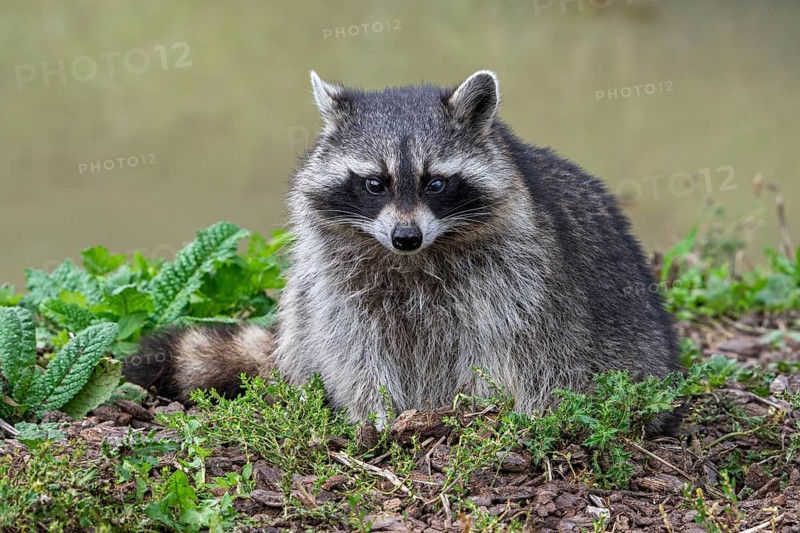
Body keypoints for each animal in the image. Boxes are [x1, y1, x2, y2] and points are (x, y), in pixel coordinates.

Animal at [124, 70, 681, 433]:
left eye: (436, 183)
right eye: (375, 183)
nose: (405, 237)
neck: (411, 258)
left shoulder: (517, 272)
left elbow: (512, 345)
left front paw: (489, 411)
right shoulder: (337, 275)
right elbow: (351, 341)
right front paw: (371, 408)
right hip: (305, 299)